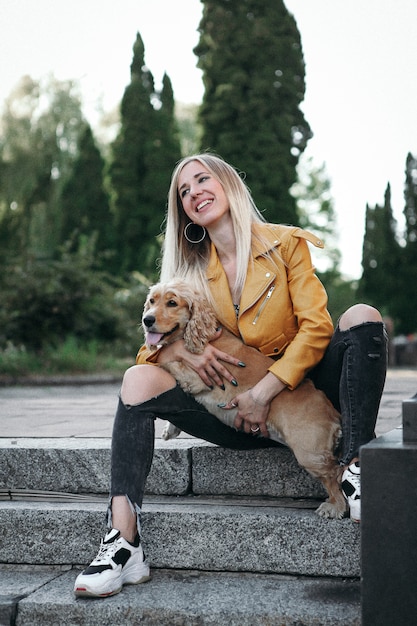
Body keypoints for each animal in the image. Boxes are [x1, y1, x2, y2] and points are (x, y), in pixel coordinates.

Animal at [142, 278, 344, 516]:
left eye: (172, 303)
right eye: (152, 301)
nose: (147, 320)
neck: (202, 336)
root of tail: (333, 414)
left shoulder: (197, 375)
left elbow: (160, 363)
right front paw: (170, 429)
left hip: (309, 452)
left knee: (335, 474)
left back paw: (335, 507)